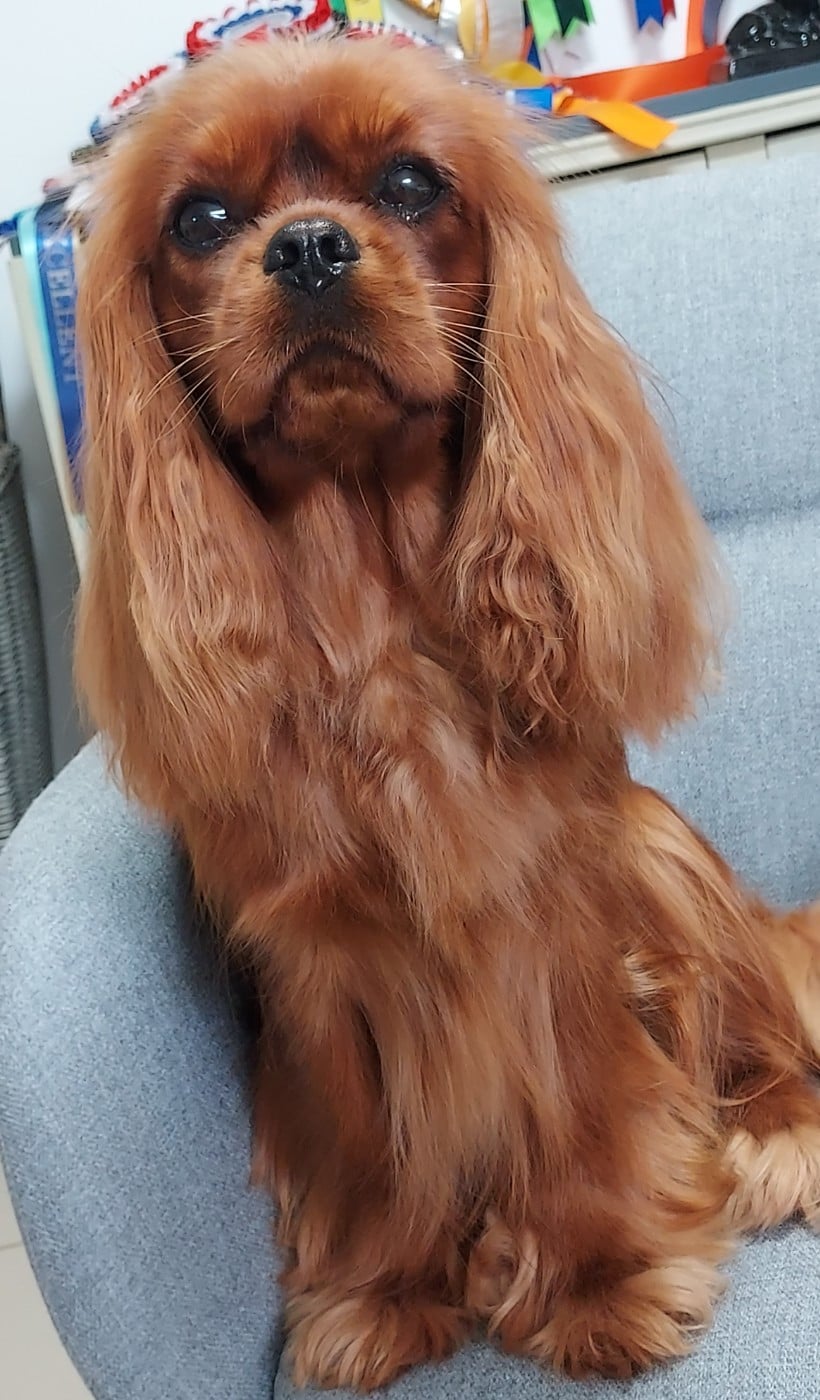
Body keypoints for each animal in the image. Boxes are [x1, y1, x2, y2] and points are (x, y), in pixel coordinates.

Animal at [75, 34, 820, 1391]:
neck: (372, 610)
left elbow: (578, 1102)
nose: (309, 247)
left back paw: (775, 1130)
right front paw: (390, 1289)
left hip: (658, 845)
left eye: (414, 184)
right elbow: (369, 1142)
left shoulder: (553, 913)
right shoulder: (317, 964)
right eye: (200, 219)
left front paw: (598, 1275)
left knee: (757, 1022)